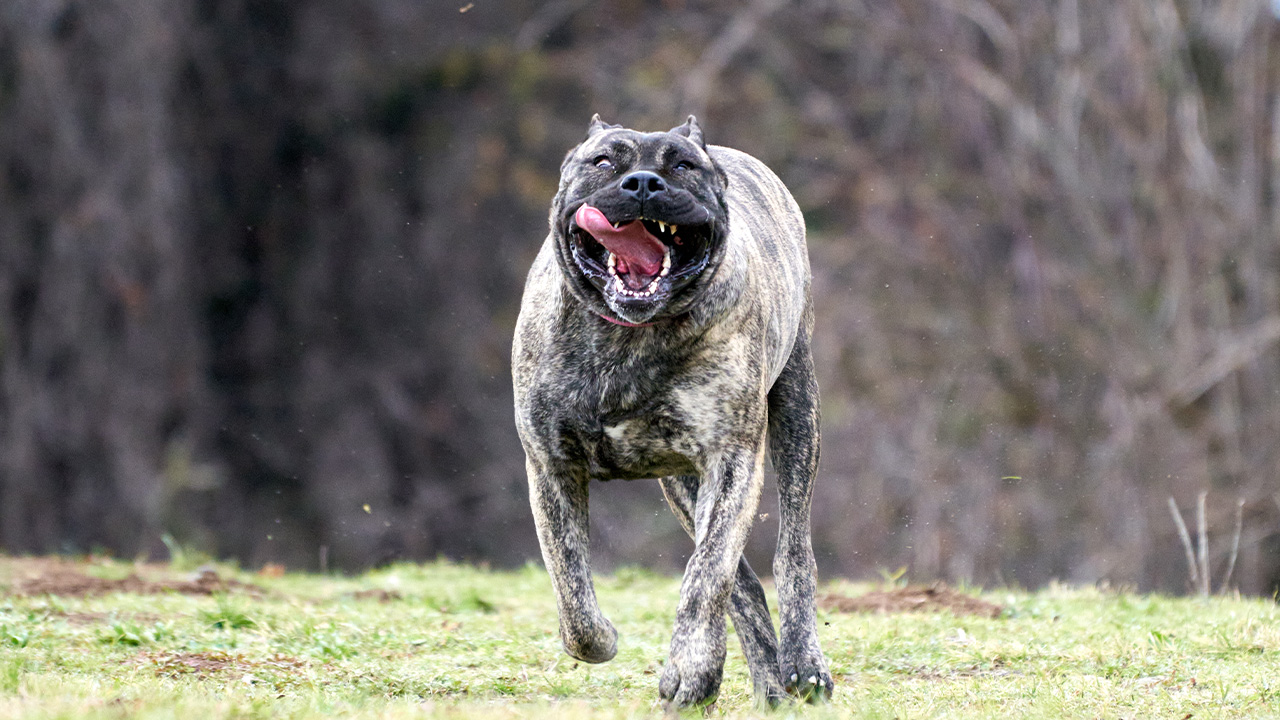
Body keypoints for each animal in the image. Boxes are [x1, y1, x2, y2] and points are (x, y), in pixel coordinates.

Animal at [509, 114, 829, 702]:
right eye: (603, 162)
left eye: (682, 165)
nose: (642, 183)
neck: (628, 338)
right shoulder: (550, 466)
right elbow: (571, 590)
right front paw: (604, 639)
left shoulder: (732, 459)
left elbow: (705, 575)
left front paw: (690, 667)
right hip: (681, 484)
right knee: (743, 583)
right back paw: (768, 684)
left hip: (798, 412)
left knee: (790, 551)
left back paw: (802, 664)